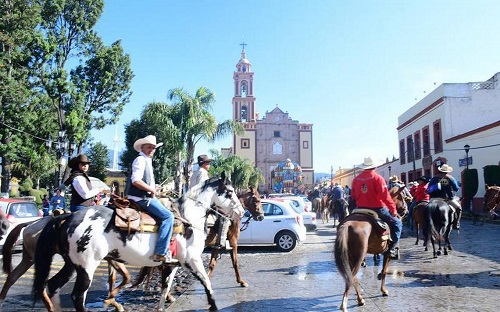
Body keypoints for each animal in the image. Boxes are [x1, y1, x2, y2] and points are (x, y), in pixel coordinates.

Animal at [33, 173, 246, 312]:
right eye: (229, 191)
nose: (241, 211)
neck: (187, 218)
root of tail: (69, 217)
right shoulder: (191, 260)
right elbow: (207, 282)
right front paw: (213, 305)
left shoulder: (171, 264)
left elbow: (165, 289)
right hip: (87, 266)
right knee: (77, 296)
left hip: (72, 265)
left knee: (52, 285)